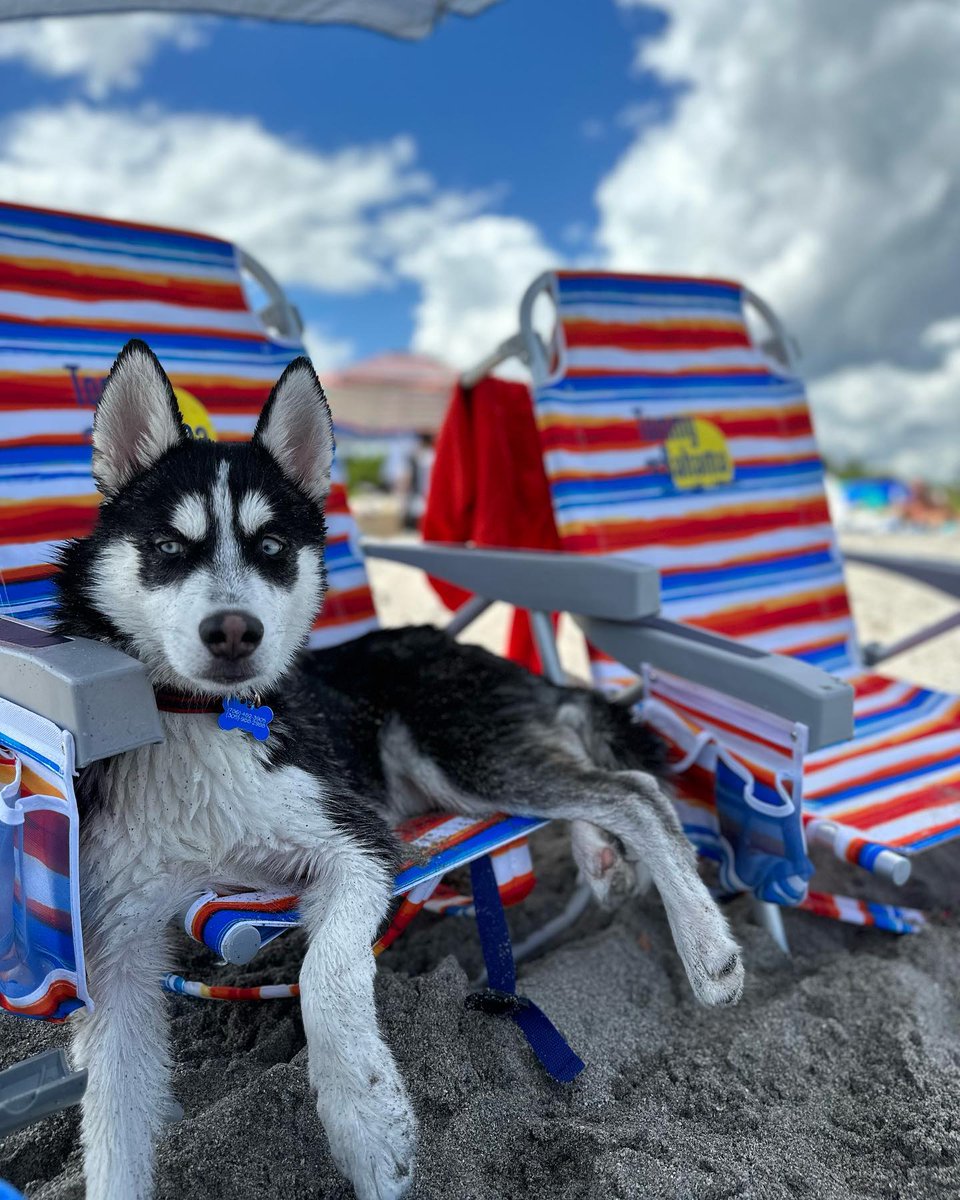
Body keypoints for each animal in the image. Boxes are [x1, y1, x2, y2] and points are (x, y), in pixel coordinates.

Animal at [56, 338, 744, 1200]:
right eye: (169, 550)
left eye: (272, 551)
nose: (234, 631)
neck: (198, 722)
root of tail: (472, 651)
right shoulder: (117, 951)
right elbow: (112, 1128)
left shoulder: (360, 845)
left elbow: (326, 975)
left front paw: (367, 1122)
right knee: (586, 785)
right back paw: (599, 860)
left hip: (458, 756)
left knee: (634, 791)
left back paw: (704, 946)